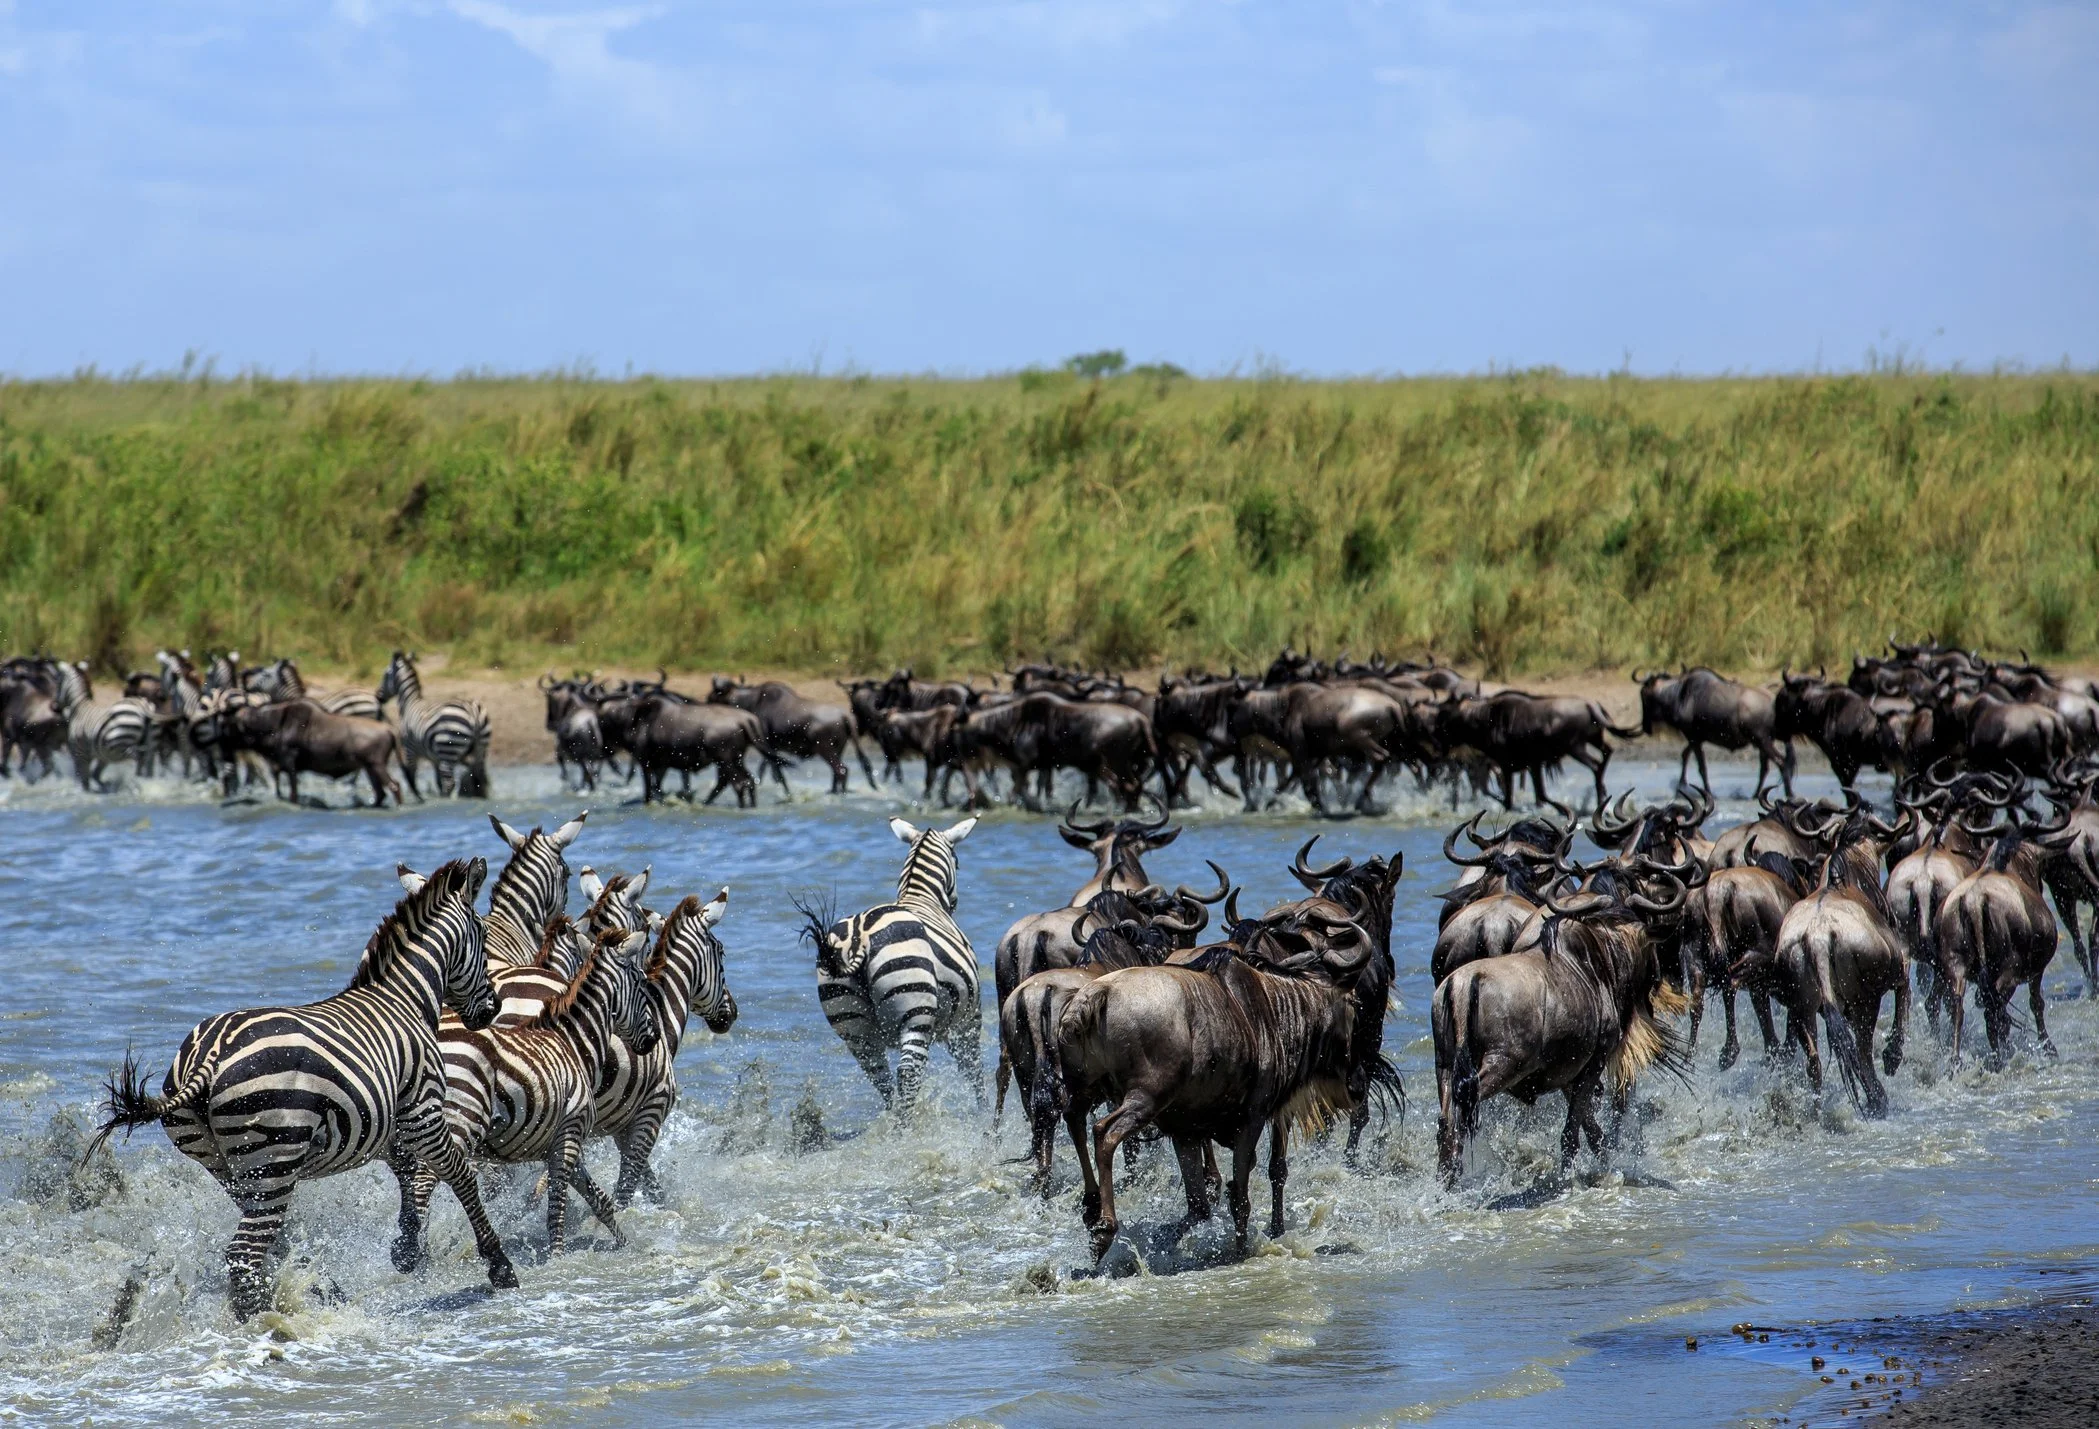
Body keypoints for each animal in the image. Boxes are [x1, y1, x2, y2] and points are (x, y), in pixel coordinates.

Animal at [54, 661, 154, 791]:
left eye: (58, 683)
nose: (54, 707)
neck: (78, 708)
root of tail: (143, 708)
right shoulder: (104, 755)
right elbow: (95, 775)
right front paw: (106, 787)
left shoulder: (79, 753)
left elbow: (84, 780)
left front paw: (85, 791)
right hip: (146, 744)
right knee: (146, 762)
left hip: (123, 744)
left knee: (136, 759)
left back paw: (135, 784)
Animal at [90, 858, 519, 1319]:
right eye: (483, 937)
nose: (493, 1009)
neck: (403, 999)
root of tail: (210, 1054)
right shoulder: (423, 1110)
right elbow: (459, 1174)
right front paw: (499, 1266)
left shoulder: (386, 1121)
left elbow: (407, 1173)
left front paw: (407, 1247)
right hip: (274, 1157)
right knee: (244, 1253)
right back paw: (268, 1320)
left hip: (226, 1166)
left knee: (267, 1240)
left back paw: (307, 1293)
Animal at [376, 651, 492, 798]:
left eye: (385, 675)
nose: (378, 696)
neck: (409, 704)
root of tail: (473, 711)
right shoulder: (434, 758)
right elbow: (437, 782)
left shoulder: (410, 749)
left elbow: (412, 776)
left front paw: (416, 796)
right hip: (480, 748)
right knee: (481, 779)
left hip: (448, 748)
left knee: (449, 783)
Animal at [397, 919, 660, 1257]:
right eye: (642, 983)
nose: (653, 1038)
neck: (575, 1044)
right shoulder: (570, 1134)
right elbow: (557, 1207)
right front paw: (557, 1257)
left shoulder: (562, 1140)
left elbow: (598, 1200)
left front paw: (625, 1245)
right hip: (460, 1119)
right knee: (426, 1181)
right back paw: (416, 1256)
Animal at [799, 817, 982, 1115]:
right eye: (957, 862)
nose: (954, 904)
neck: (920, 896)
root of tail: (859, 935)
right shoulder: (968, 1019)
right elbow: (974, 1070)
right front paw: (986, 1116)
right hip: (915, 1016)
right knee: (907, 1074)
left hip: (855, 1031)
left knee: (882, 1080)